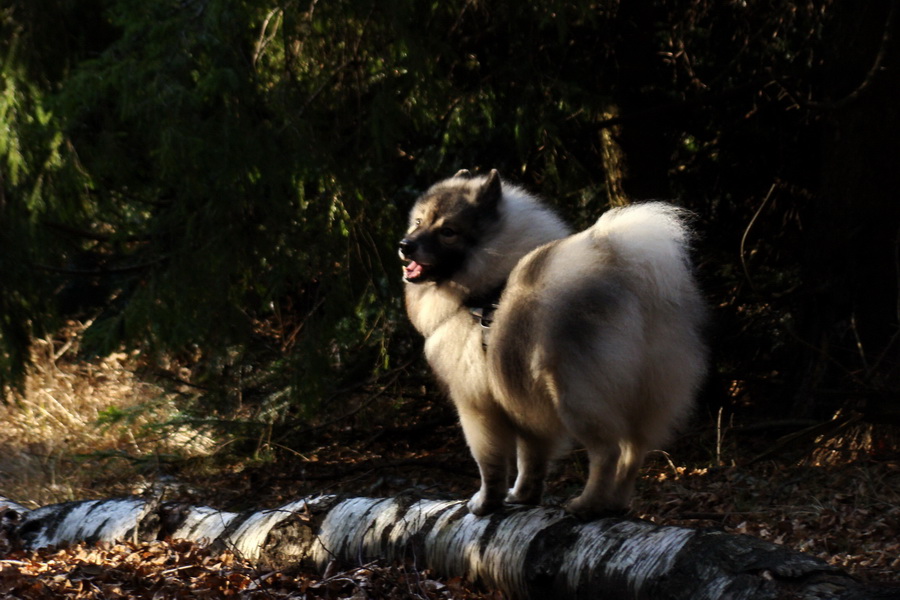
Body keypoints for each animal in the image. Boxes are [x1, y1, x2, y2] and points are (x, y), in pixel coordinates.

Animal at [398, 168, 708, 516]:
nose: (405, 245)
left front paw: (486, 502)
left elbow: (491, 463)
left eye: (448, 231)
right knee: (633, 452)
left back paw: (588, 503)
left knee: (608, 452)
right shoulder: (523, 403)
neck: (486, 285)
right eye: (419, 221)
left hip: (575, 395)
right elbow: (532, 460)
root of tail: (630, 283)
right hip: (643, 394)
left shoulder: (477, 405)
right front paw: (524, 496)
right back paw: (615, 503)